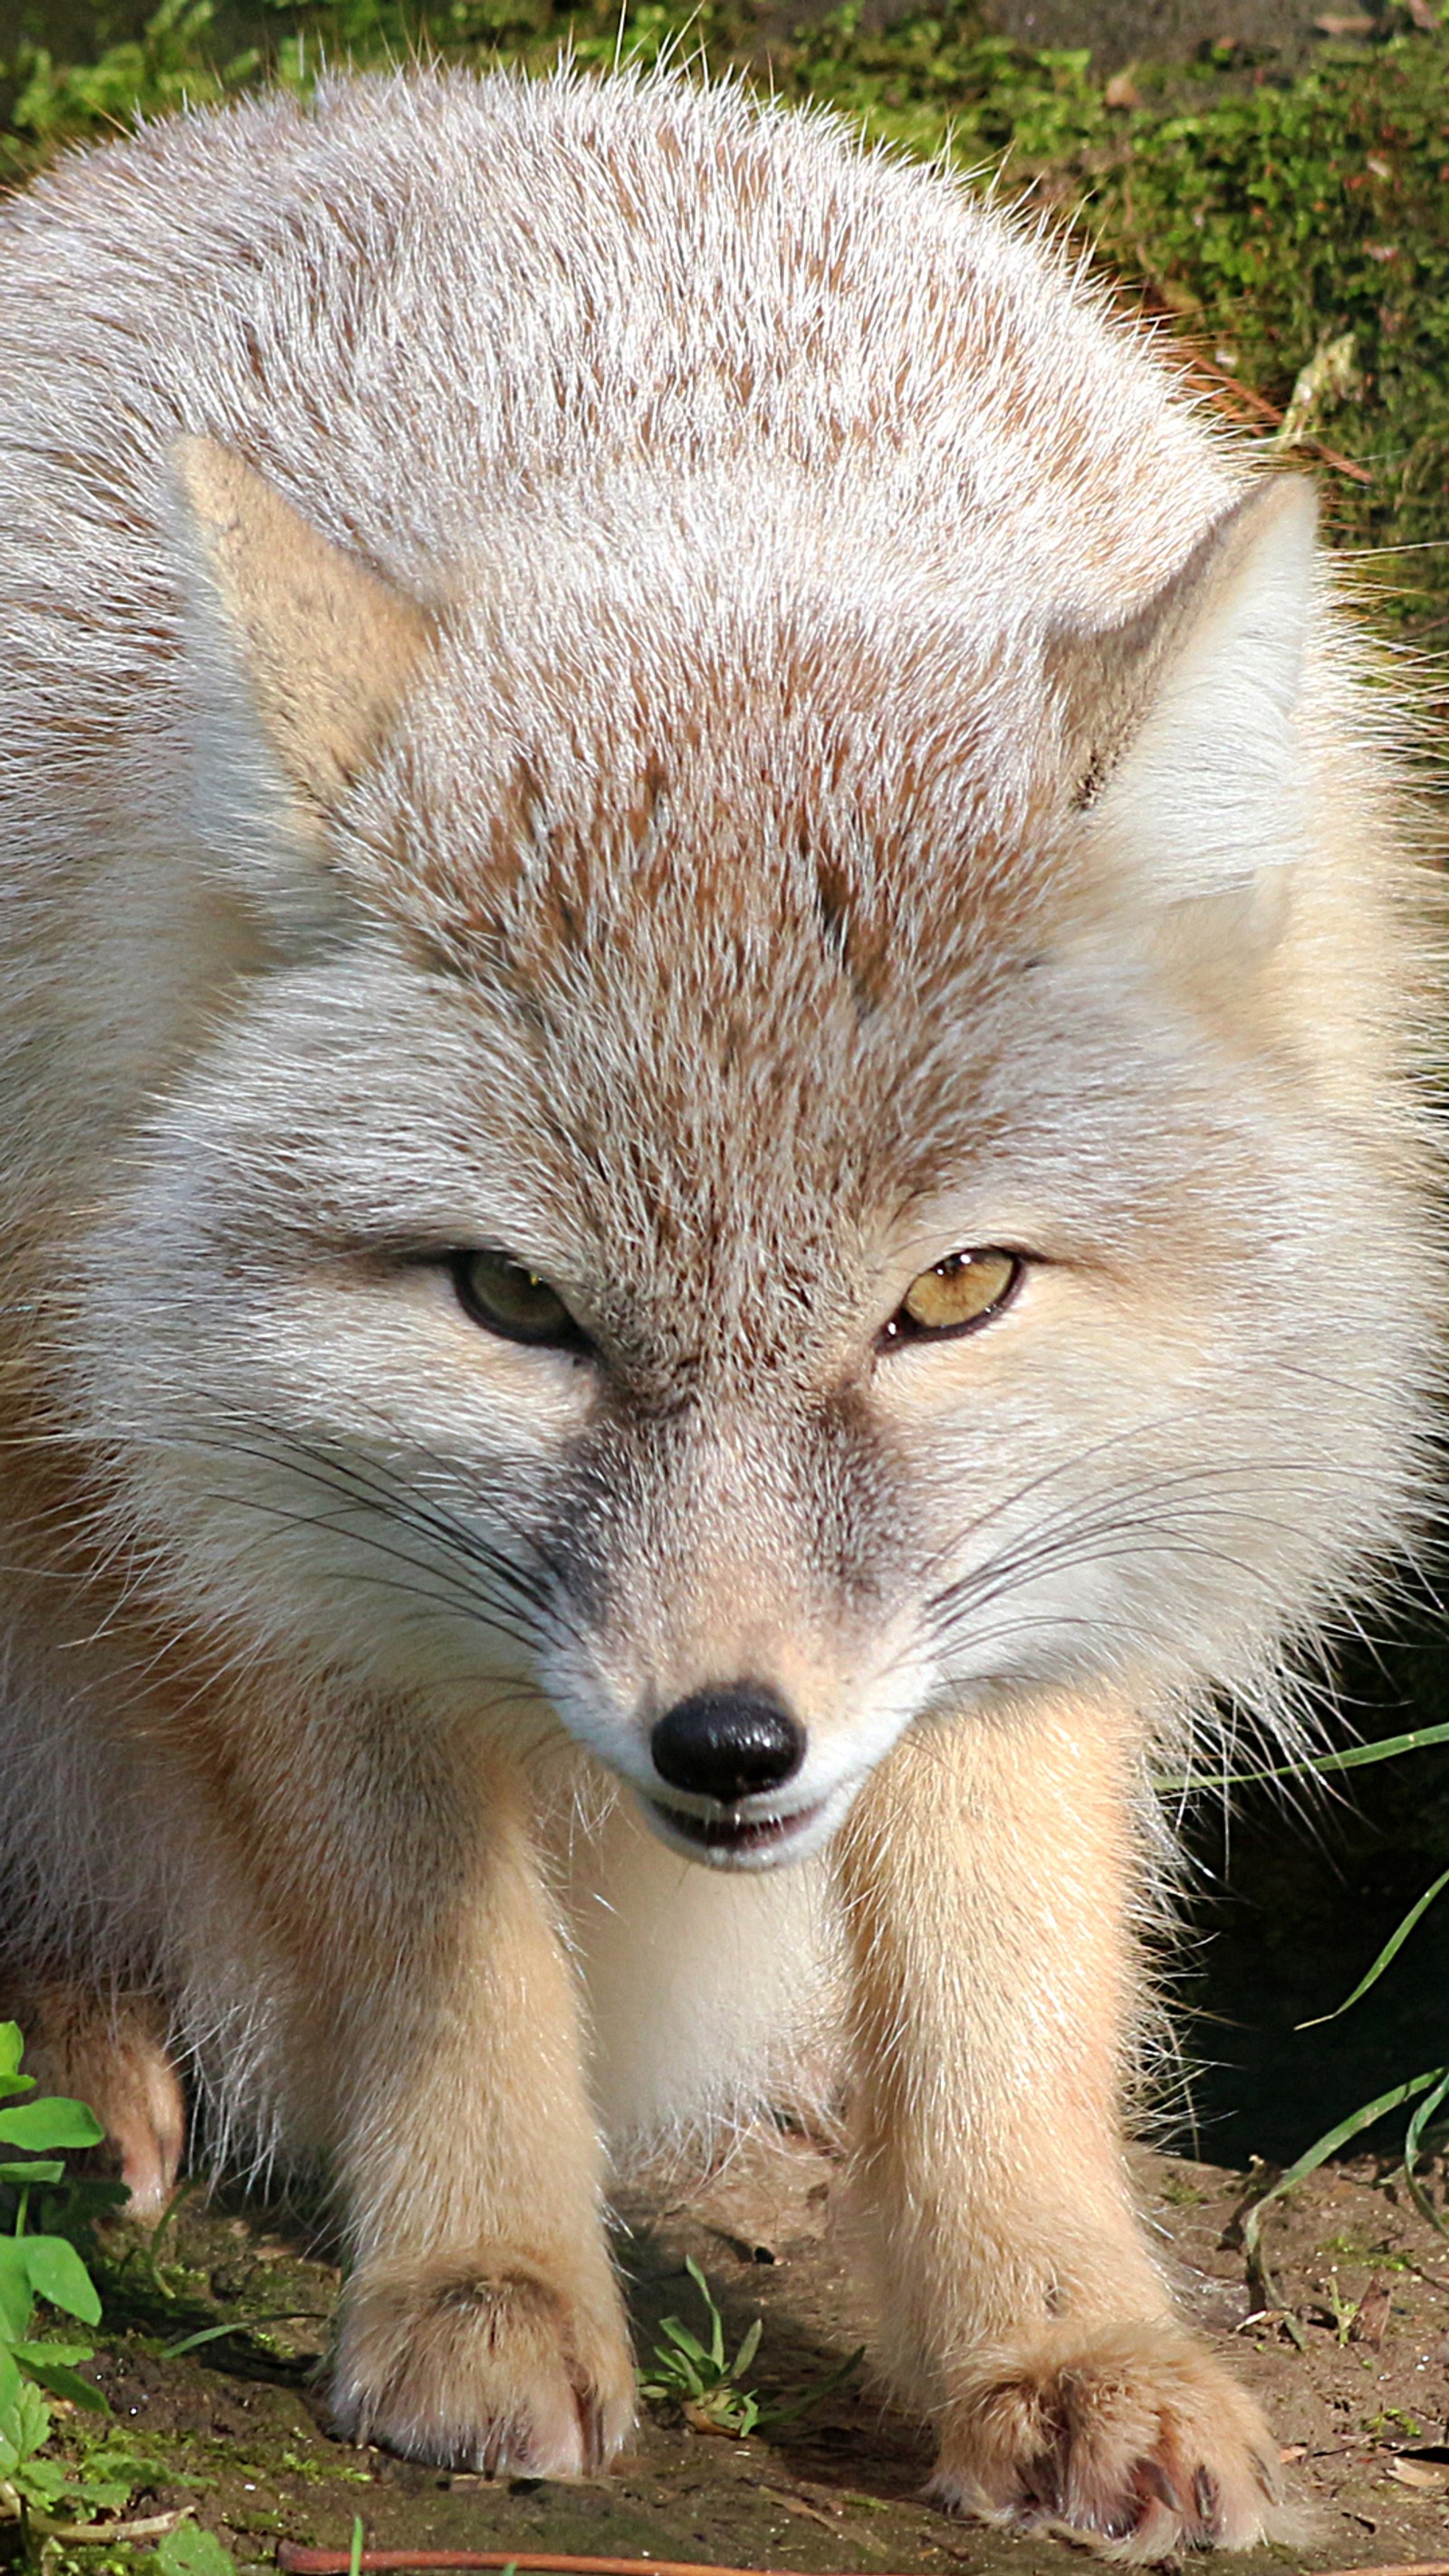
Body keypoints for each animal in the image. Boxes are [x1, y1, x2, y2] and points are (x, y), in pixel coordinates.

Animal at [0, 55, 1441, 2555]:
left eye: (952, 1291)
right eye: (511, 1301)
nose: (729, 1743)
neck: (687, 483)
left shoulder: (1058, 1567)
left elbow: (1003, 1986)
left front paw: (1054, 2332)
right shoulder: (250, 1515)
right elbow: (439, 1959)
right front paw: (478, 2284)